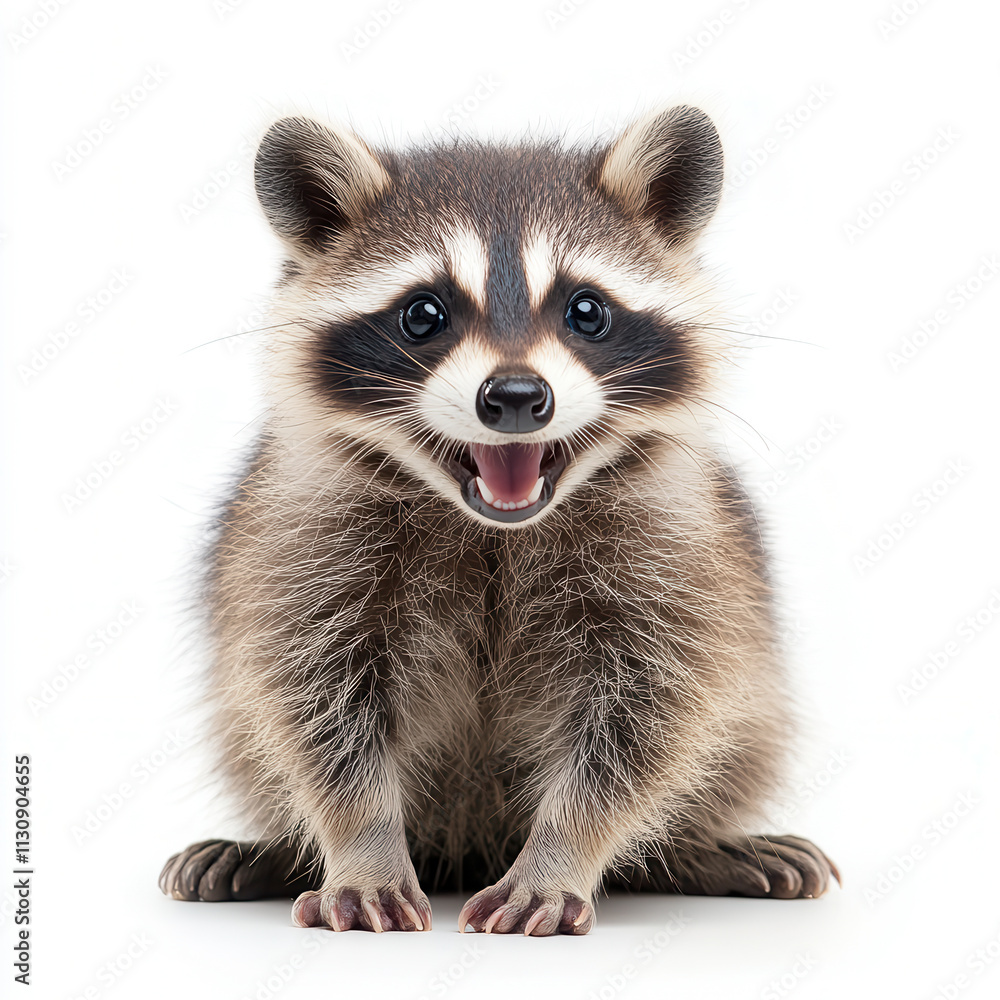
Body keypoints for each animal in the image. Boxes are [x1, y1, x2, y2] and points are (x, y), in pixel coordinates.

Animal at [159, 106, 839, 935]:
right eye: (423, 314)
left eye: (587, 311)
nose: (515, 397)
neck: (493, 529)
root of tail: (465, 849)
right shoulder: (302, 539)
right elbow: (315, 705)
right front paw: (362, 844)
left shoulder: (677, 552)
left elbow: (647, 716)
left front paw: (560, 853)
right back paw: (277, 853)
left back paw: (699, 850)